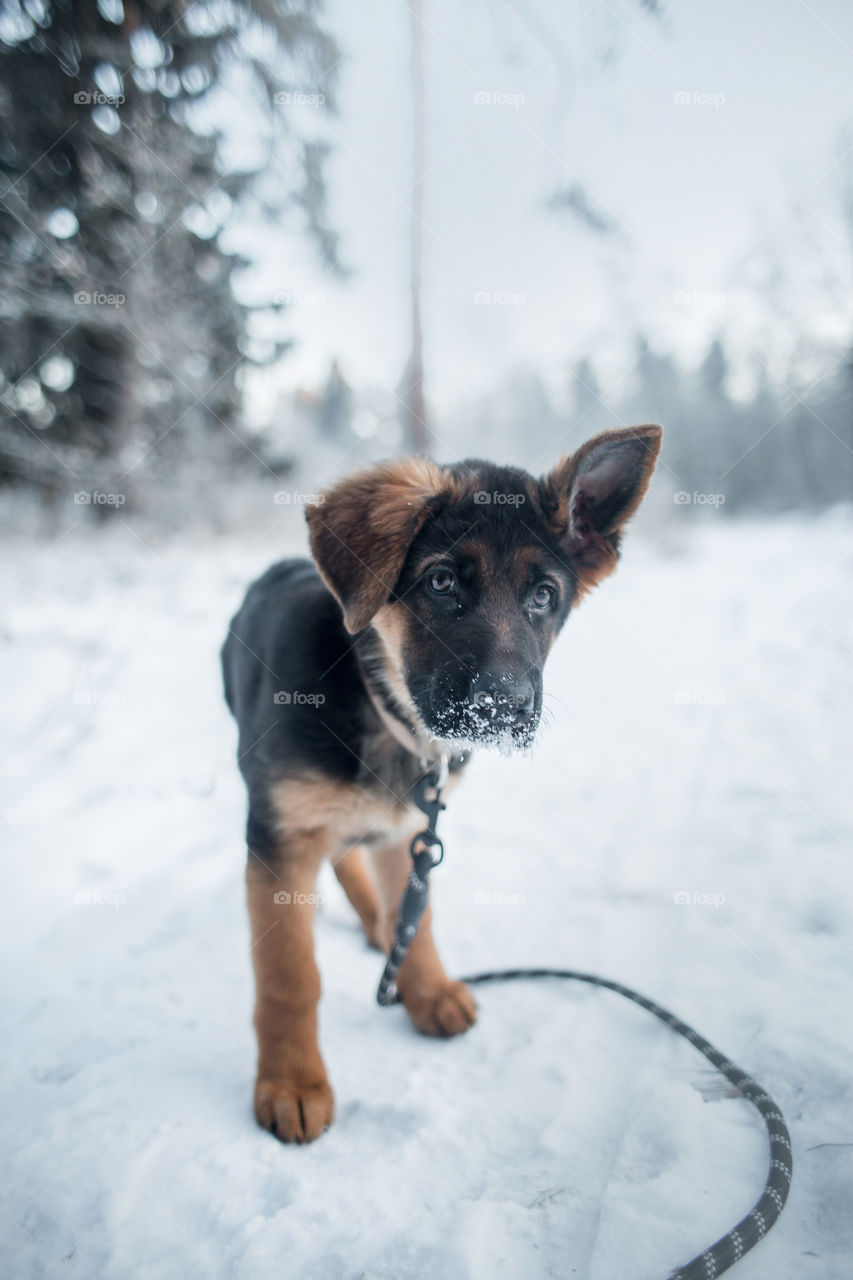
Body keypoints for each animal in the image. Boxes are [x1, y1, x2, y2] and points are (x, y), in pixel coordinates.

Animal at [219, 424, 655, 1146]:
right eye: (441, 581)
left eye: (543, 596)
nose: (501, 709)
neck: (383, 706)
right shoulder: (280, 832)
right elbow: (289, 973)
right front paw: (292, 1084)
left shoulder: (414, 826)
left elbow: (415, 910)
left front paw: (427, 990)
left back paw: (378, 929)